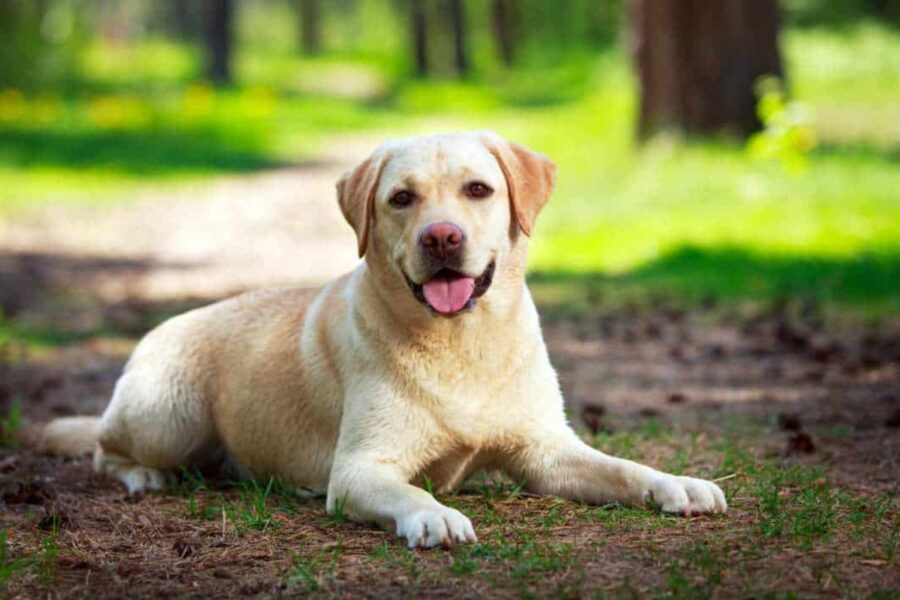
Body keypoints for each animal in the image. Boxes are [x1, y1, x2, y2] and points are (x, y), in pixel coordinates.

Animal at [37, 131, 724, 548]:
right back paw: (142, 477)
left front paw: (677, 483)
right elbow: (408, 488)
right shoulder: (361, 468)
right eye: (401, 198)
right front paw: (435, 513)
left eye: (479, 189)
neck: (461, 343)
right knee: (103, 448)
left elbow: (623, 467)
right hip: (167, 417)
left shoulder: (547, 452)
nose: (441, 237)